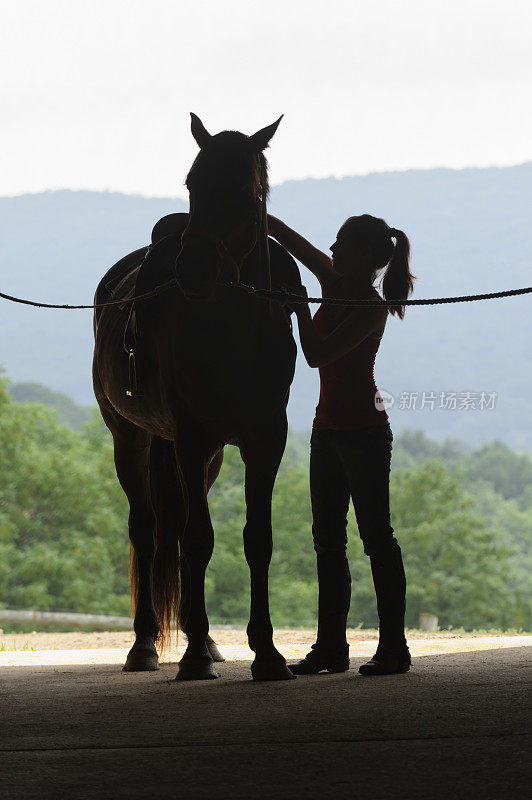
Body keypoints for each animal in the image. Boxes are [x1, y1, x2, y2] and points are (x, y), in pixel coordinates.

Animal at [93, 114, 302, 680]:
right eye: (192, 182)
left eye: (249, 191)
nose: (194, 272)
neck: (231, 331)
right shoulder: (190, 438)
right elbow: (198, 539)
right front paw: (191, 660)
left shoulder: (263, 440)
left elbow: (257, 538)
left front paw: (267, 652)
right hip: (132, 439)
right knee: (147, 530)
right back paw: (146, 645)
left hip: (207, 458)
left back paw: (204, 640)